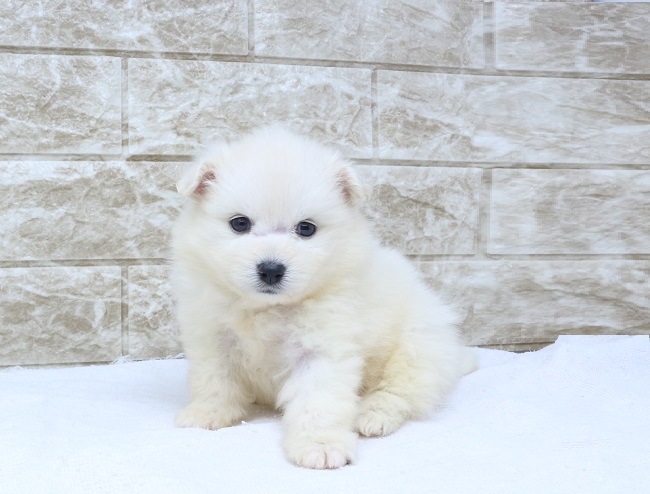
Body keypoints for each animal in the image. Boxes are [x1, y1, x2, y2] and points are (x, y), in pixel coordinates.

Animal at [171, 126, 476, 466]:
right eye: (240, 223)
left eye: (306, 229)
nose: (271, 269)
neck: (267, 308)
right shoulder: (213, 337)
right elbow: (215, 379)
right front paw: (208, 414)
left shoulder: (323, 348)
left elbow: (318, 402)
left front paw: (320, 445)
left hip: (418, 347)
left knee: (399, 392)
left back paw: (371, 416)